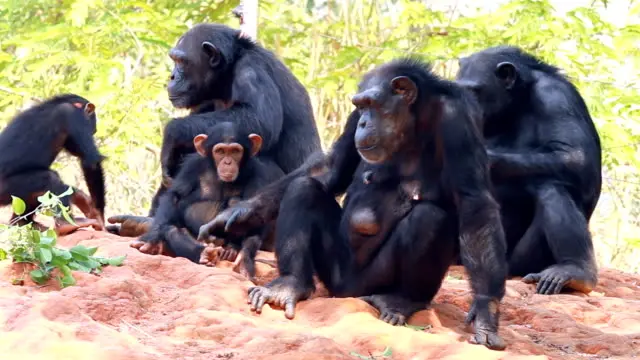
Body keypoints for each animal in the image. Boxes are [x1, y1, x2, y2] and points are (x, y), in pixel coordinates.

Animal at [0, 93, 106, 235]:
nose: (95, 128)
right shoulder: (72, 116)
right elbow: (90, 161)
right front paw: (98, 214)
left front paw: (80, 197)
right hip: (6, 190)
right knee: (51, 178)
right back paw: (67, 224)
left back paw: (22, 223)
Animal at [130, 122, 282, 280]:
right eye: (220, 151)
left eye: (235, 151)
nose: (228, 162)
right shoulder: (192, 165)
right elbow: (175, 196)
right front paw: (151, 238)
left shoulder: (260, 172)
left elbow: (258, 207)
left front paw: (245, 257)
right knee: (172, 229)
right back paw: (202, 253)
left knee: (235, 203)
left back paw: (231, 249)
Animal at [200, 57, 510, 350]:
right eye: (360, 106)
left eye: (372, 104)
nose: (363, 122)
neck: (413, 121)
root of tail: (346, 293)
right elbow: (330, 170)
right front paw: (237, 215)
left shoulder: (458, 121)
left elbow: (475, 203)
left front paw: (485, 311)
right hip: (332, 271)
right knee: (304, 189)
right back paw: (289, 285)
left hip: (372, 281)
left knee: (430, 217)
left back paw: (400, 301)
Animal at [456, 45, 600, 296]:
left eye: (475, 91)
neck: (515, 103)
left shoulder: (555, 96)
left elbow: (576, 156)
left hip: (520, 263)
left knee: (550, 186)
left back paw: (576, 272)